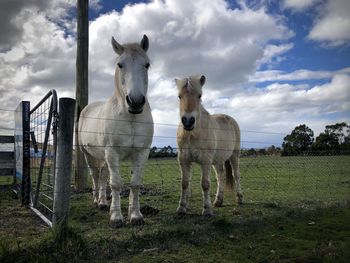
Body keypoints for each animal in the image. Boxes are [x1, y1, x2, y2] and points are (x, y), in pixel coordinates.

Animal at [79, 35, 153, 229]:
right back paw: (96, 201)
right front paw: (116, 217)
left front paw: (135, 215)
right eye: (120, 64)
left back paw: (103, 203)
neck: (130, 117)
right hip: (89, 155)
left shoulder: (142, 153)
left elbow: (135, 184)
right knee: (96, 176)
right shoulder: (112, 152)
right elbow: (116, 184)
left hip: (105, 158)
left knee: (103, 176)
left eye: (147, 64)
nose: (135, 101)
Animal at [176, 75, 242, 218]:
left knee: (236, 175)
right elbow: (184, 183)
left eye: (200, 95)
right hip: (217, 160)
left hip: (234, 155)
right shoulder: (184, 159)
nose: (188, 121)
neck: (192, 133)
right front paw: (182, 208)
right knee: (220, 176)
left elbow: (205, 184)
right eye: (179, 96)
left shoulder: (205, 160)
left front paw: (207, 209)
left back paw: (239, 198)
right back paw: (218, 201)